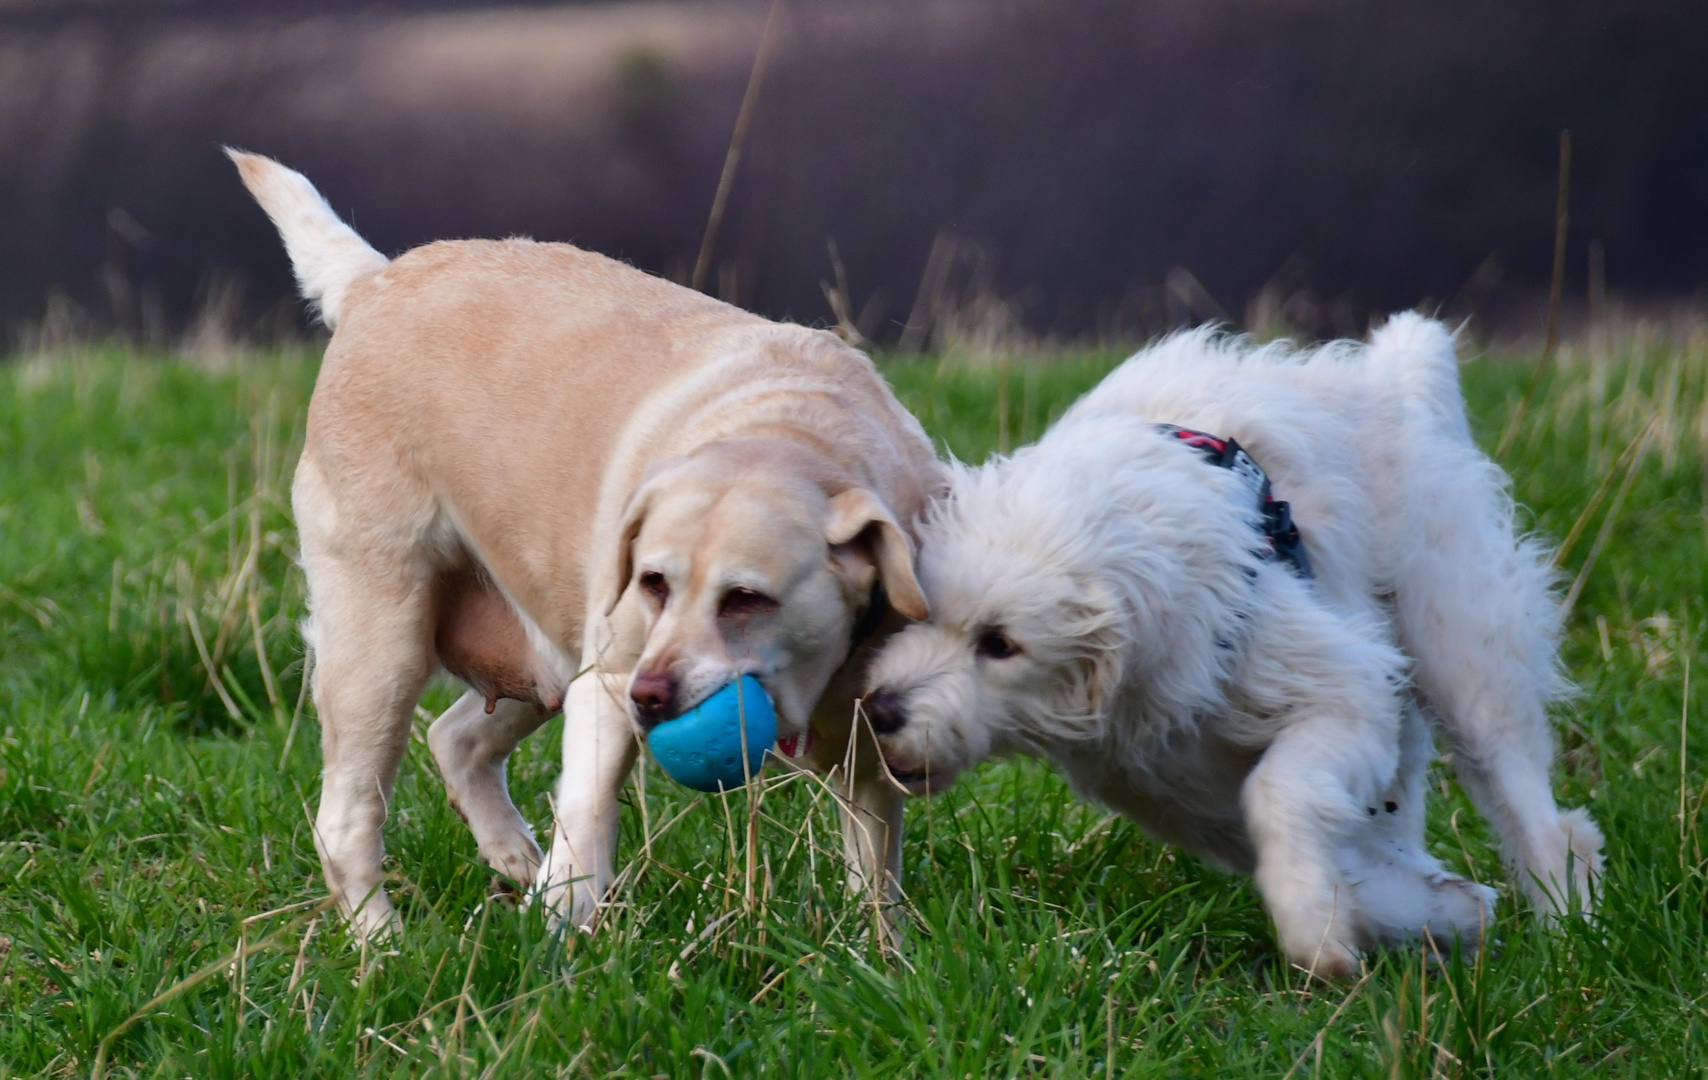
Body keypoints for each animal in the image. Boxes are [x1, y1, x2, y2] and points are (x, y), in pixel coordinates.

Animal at [867, 314, 1598, 977]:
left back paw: (1568, 941)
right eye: (908, 617)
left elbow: (1280, 793)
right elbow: (1362, 869)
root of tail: (1387, 378)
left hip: (1464, 656)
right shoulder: (1183, 791)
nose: (879, 711)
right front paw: (1442, 915)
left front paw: (1316, 931)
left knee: (1541, 817)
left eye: (1000, 644)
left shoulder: (1343, 689)